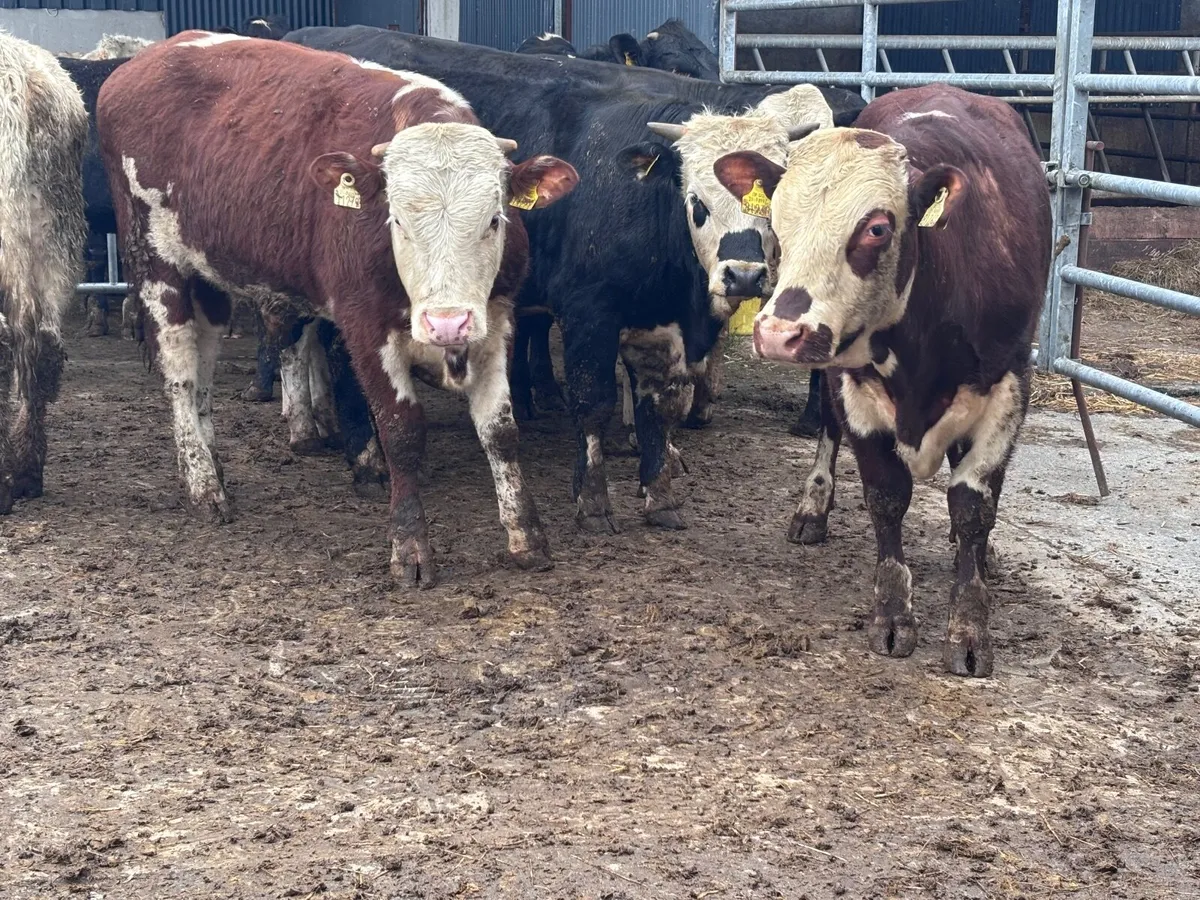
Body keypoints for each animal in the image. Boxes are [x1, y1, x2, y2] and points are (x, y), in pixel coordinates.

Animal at [97, 33, 579, 585]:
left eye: (495, 219)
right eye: (395, 220)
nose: (446, 323)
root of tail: (144, 60)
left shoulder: (495, 320)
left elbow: (501, 431)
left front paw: (527, 537)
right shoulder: (364, 324)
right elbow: (401, 431)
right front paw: (410, 550)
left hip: (209, 277)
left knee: (203, 371)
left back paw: (210, 462)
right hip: (157, 263)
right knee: (179, 371)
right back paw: (203, 486)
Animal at [286, 26, 863, 532]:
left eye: (772, 202)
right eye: (696, 200)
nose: (743, 275)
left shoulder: (662, 322)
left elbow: (658, 405)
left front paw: (659, 492)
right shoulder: (590, 311)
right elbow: (593, 402)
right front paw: (593, 501)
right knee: (332, 351)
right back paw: (359, 455)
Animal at [712, 84, 1050, 677]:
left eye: (877, 227)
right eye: (776, 219)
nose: (778, 333)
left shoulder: (1009, 388)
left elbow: (973, 507)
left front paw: (969, 626)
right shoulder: (854, 389)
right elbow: (886, 497)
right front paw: (893, 615)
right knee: (827, 429)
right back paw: (813, 508)